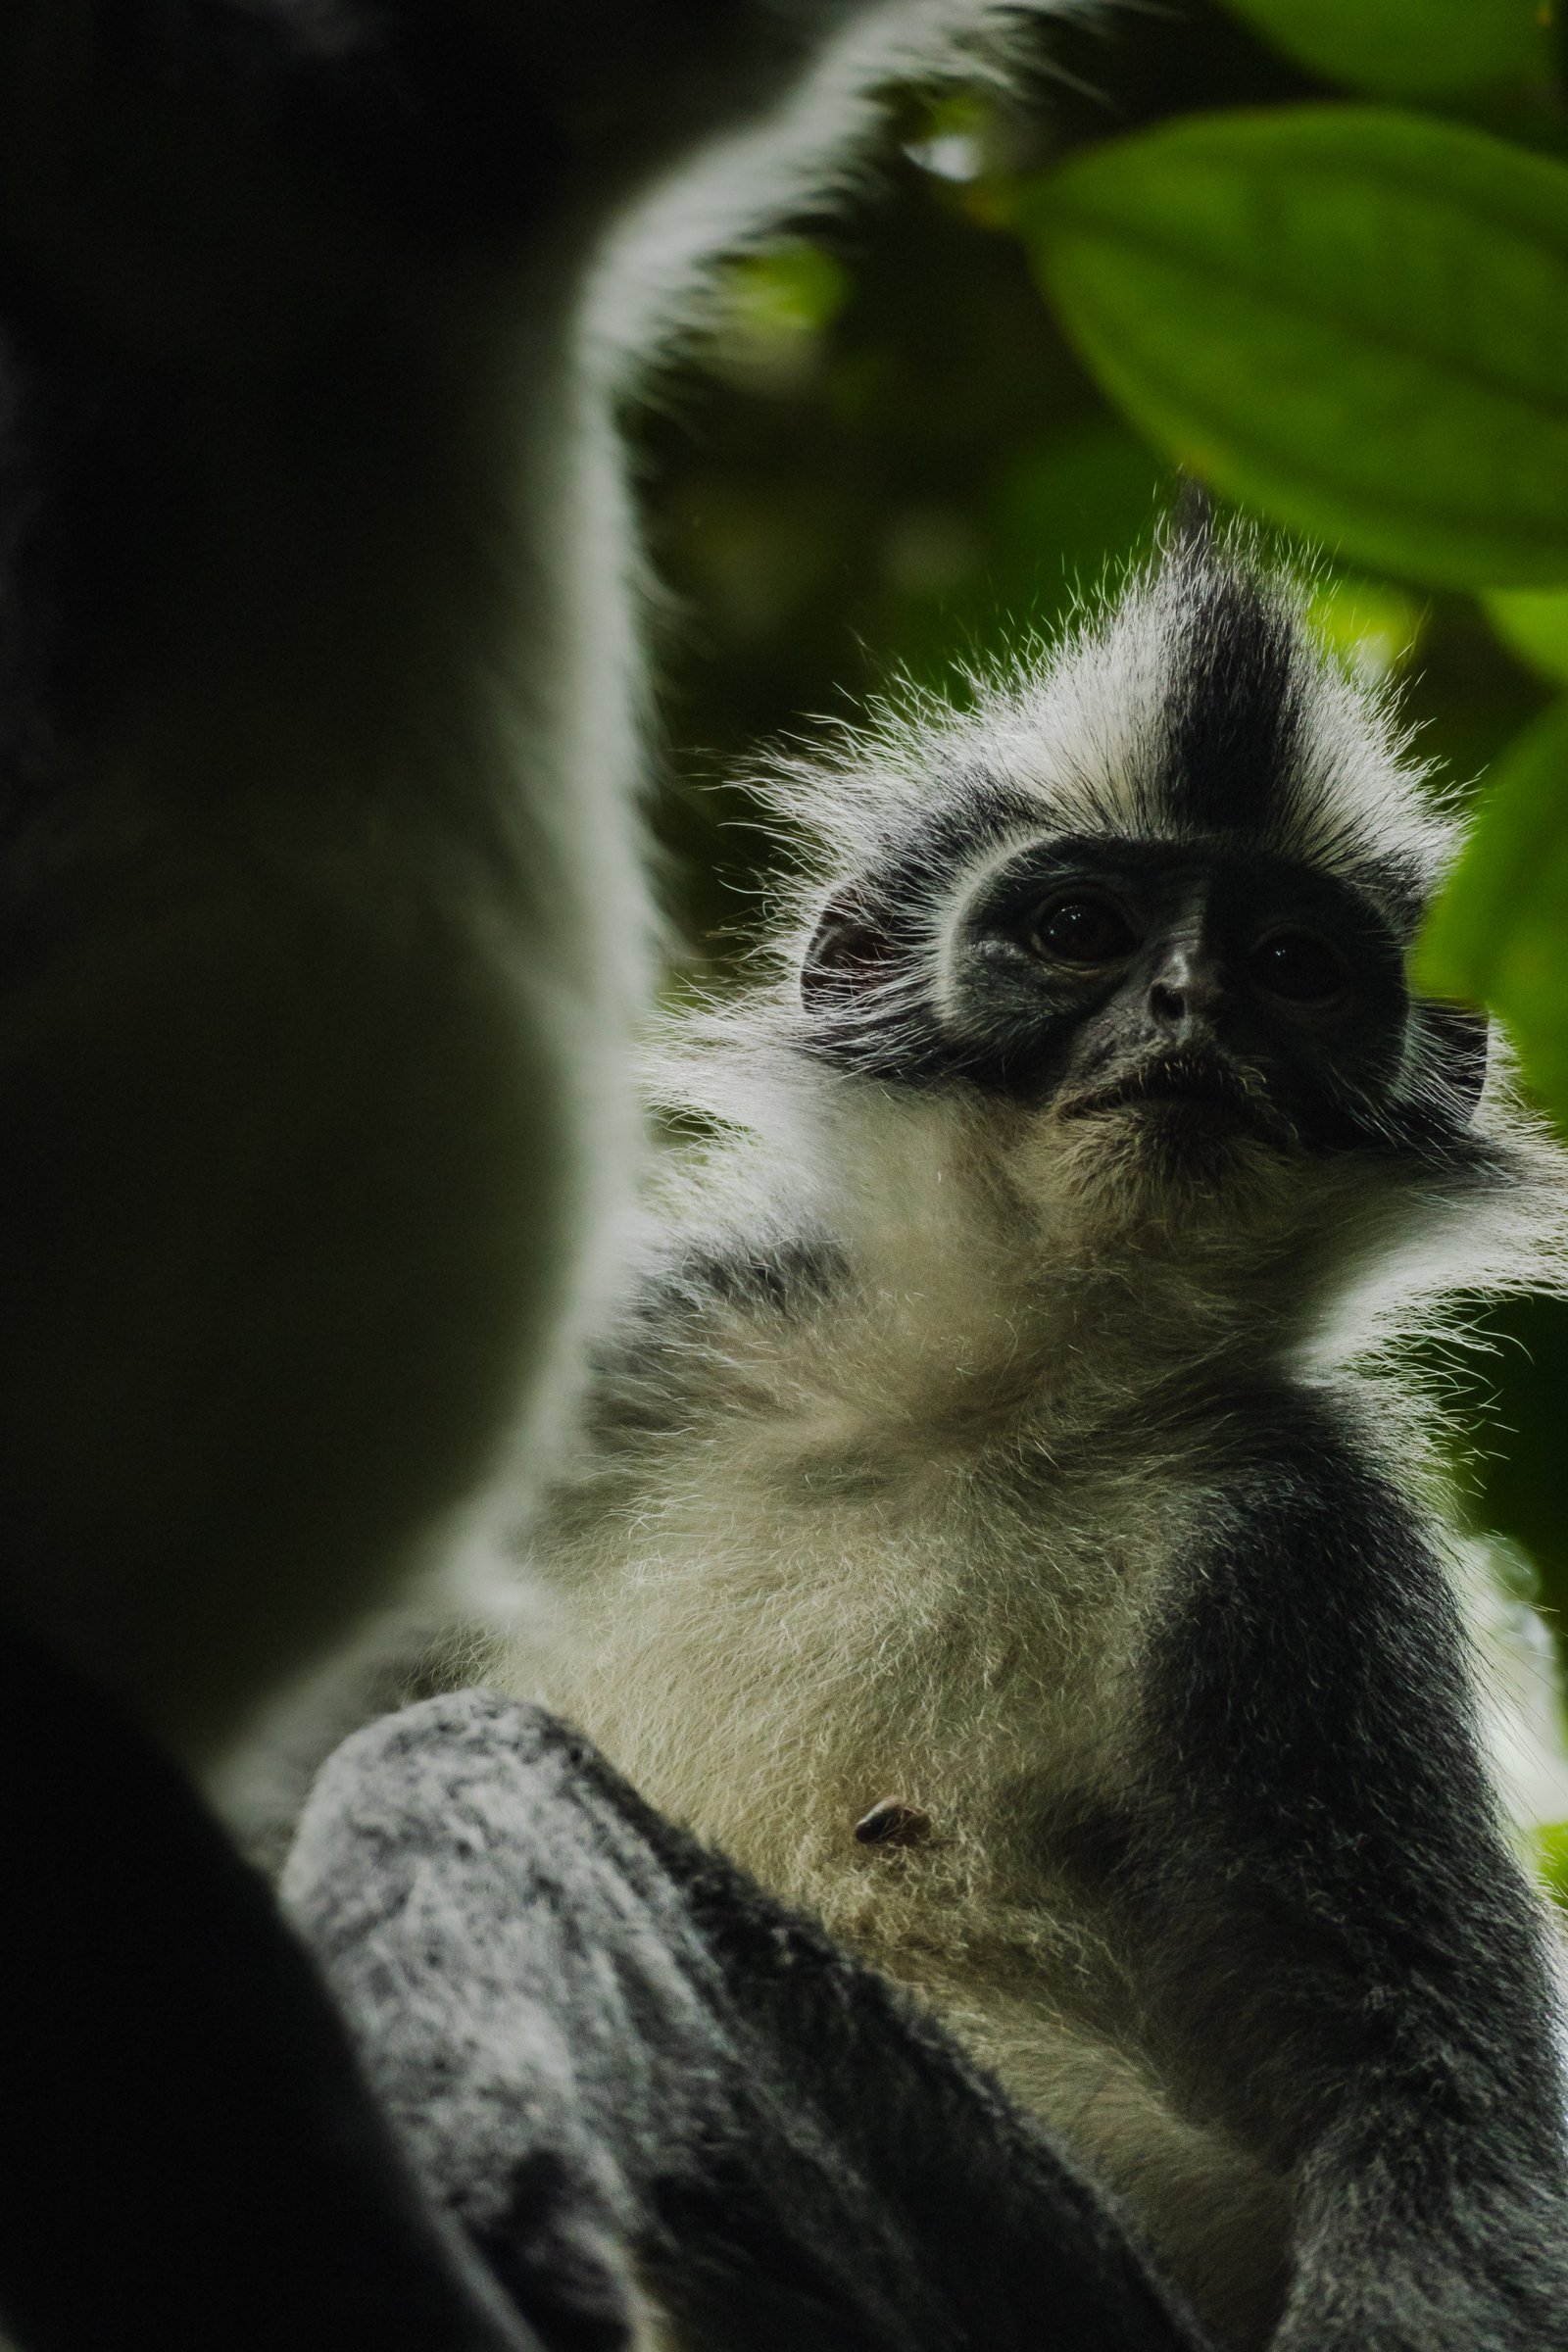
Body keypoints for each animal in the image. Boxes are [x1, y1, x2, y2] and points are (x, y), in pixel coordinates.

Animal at [481, 517, 1568, 2351]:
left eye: (1295, 970)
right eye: (1077, 930)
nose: (1191, 1005)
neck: (980, 1405)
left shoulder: (1307, 1542)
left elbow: (1435, 2100)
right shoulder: (663, 1343)